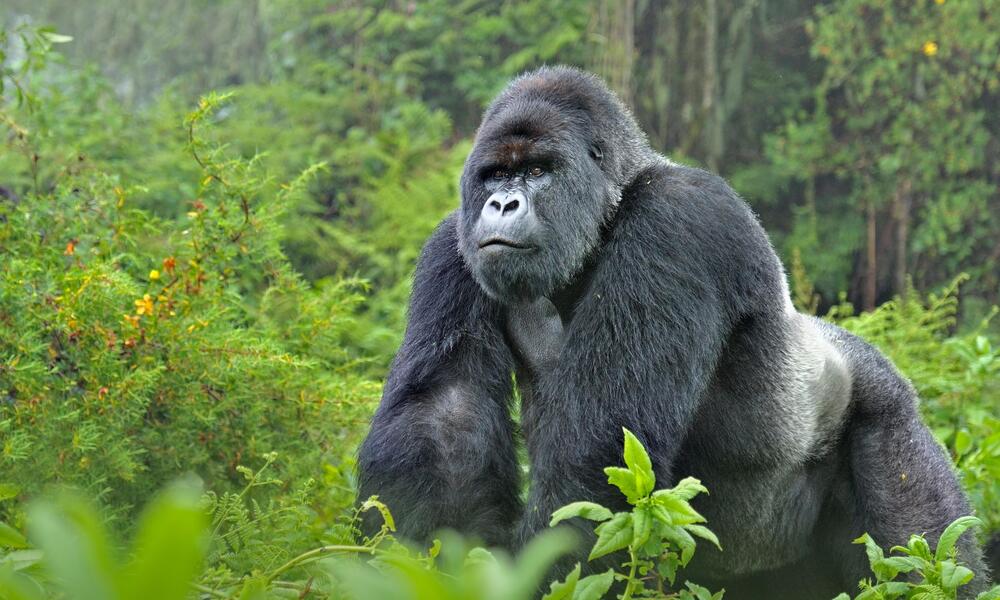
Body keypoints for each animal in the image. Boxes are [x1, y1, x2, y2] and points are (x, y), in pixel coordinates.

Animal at [356, 67, 988, 596]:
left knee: (923, 548)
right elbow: (444, 418)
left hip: (888, 415)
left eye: (537, 171)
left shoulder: (677, 222)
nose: (502, 204)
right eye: (495, 175)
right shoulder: (453, 244)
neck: (610, 208)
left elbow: (598, 455)